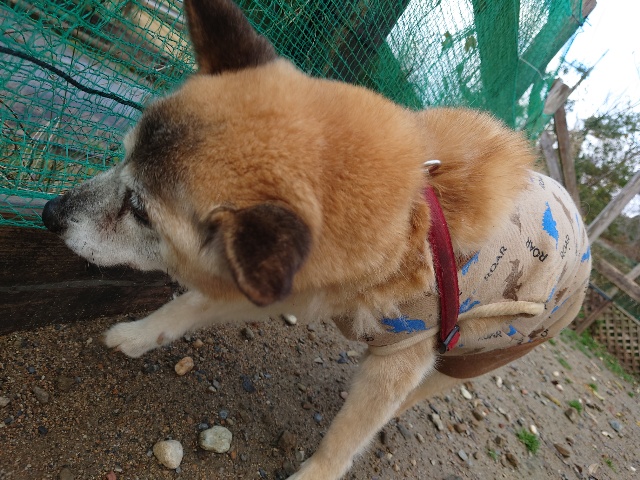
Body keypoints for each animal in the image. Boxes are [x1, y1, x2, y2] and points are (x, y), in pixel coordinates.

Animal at [41, 0, 592, 478]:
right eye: (124, 153)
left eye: (139, 211)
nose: (49, 213)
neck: (408, 225)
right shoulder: (276, 280)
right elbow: (187, 306)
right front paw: (137, 335)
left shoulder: (402, 353)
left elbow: (347, 436)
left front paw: (317, 472)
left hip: (470, 355)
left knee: (411, 395)